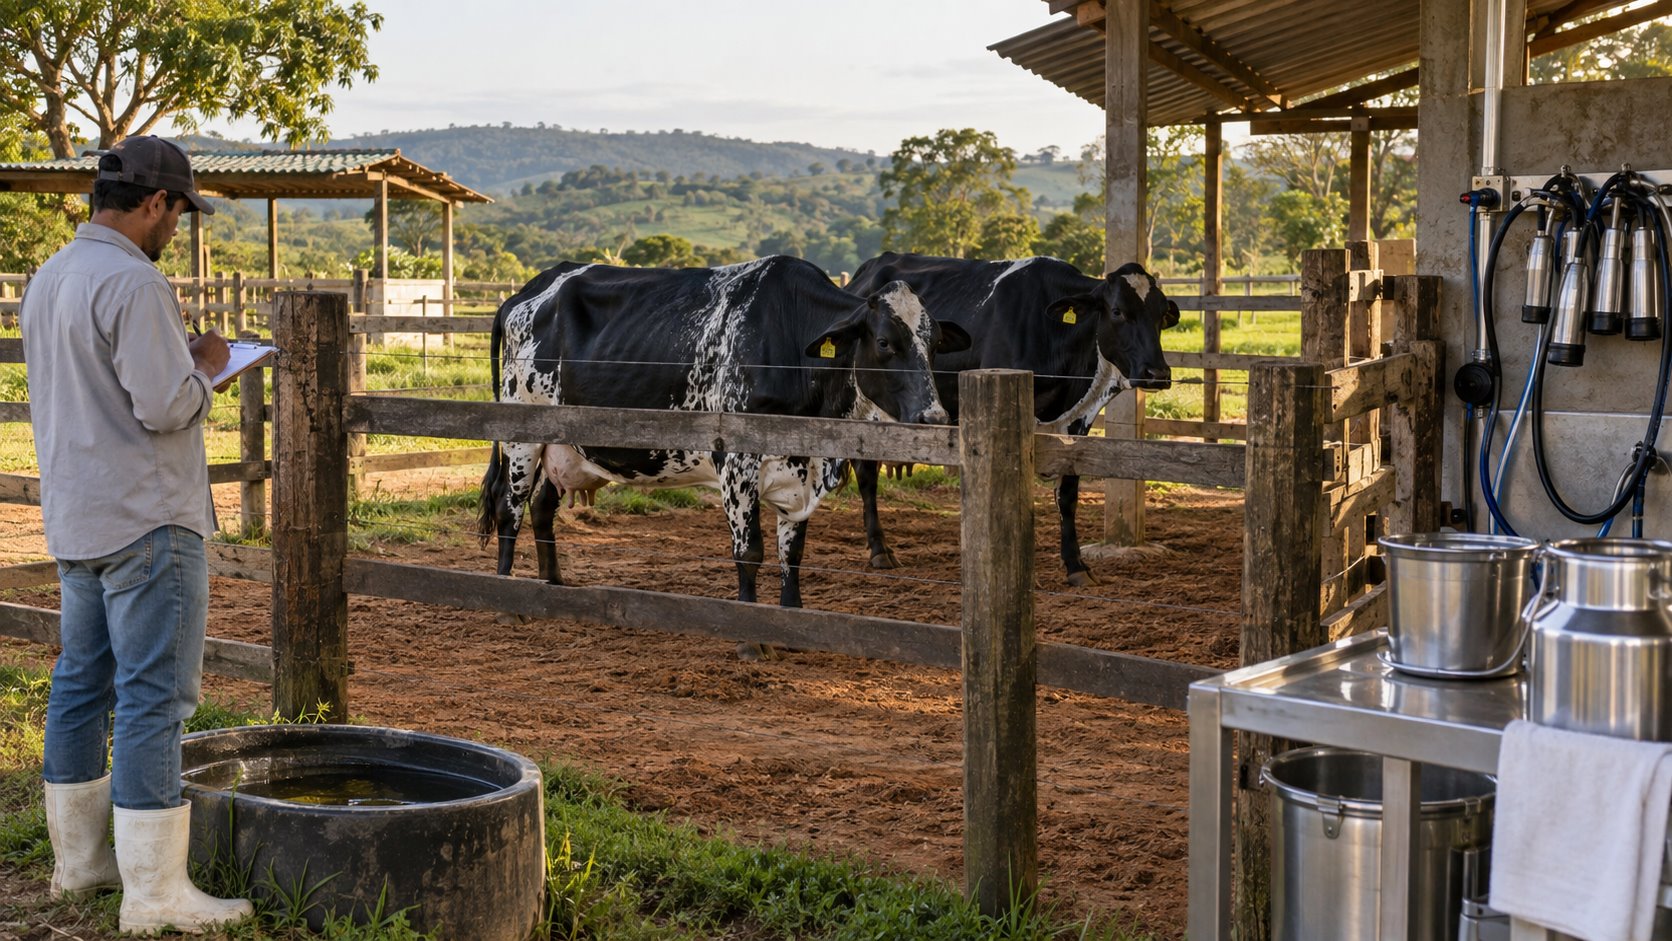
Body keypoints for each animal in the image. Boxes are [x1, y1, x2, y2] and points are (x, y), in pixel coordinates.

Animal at [477, 255, 971, 608]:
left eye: (933, 344)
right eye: (885, 342)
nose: (933, 417)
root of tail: (529, 289)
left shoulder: (801, 471)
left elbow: (792, 553)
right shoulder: (736, 464)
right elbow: (749, 551)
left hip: (564, 447)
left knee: (542, 509)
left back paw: (552, 586)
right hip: (522, 437)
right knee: (509, 508)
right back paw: (505, 595)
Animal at [845, 252, 1177, 587]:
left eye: (1162, 315)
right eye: (1118, 311)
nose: (1158, 373)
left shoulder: (1077, 426)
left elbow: (1068, 495)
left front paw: (1076, 565)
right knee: (866, 473)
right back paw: (879, 549)